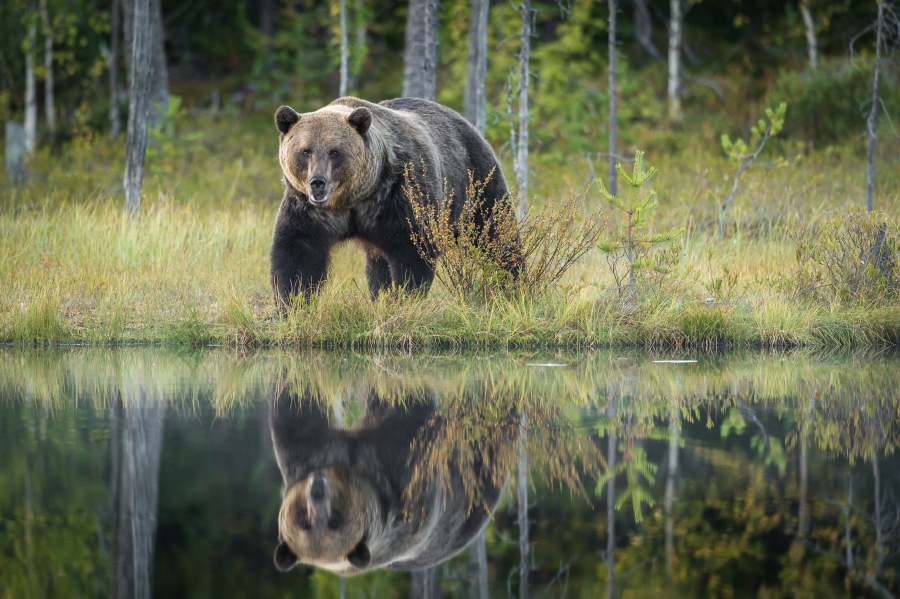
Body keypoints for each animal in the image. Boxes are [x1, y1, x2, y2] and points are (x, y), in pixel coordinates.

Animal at [270, 96, 515, 307]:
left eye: (334, 152)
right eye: (305, 150)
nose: (318, 182)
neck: (353, 198)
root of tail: (464, 122)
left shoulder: (398, 195)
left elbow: (411, 250)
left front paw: (404, 297)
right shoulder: (310, 210)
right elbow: (299, 253)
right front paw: (292, 302)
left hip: (473, 183)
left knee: (497, 233)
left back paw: (512, 285)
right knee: (377, 264)